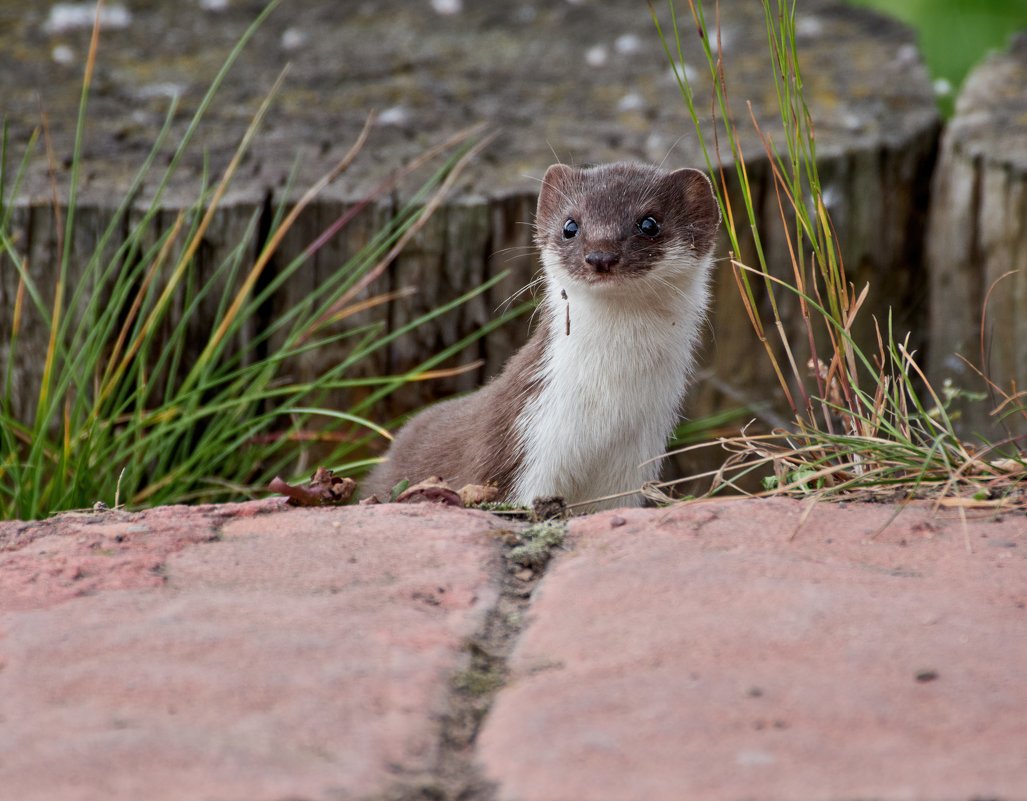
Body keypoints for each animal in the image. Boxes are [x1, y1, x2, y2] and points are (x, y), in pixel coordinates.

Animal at [365, 162, 718, 509]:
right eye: (570, 225)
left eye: (649, 223)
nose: (600, 256)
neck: (609, 414)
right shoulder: (524, 439)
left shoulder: (634, 459)